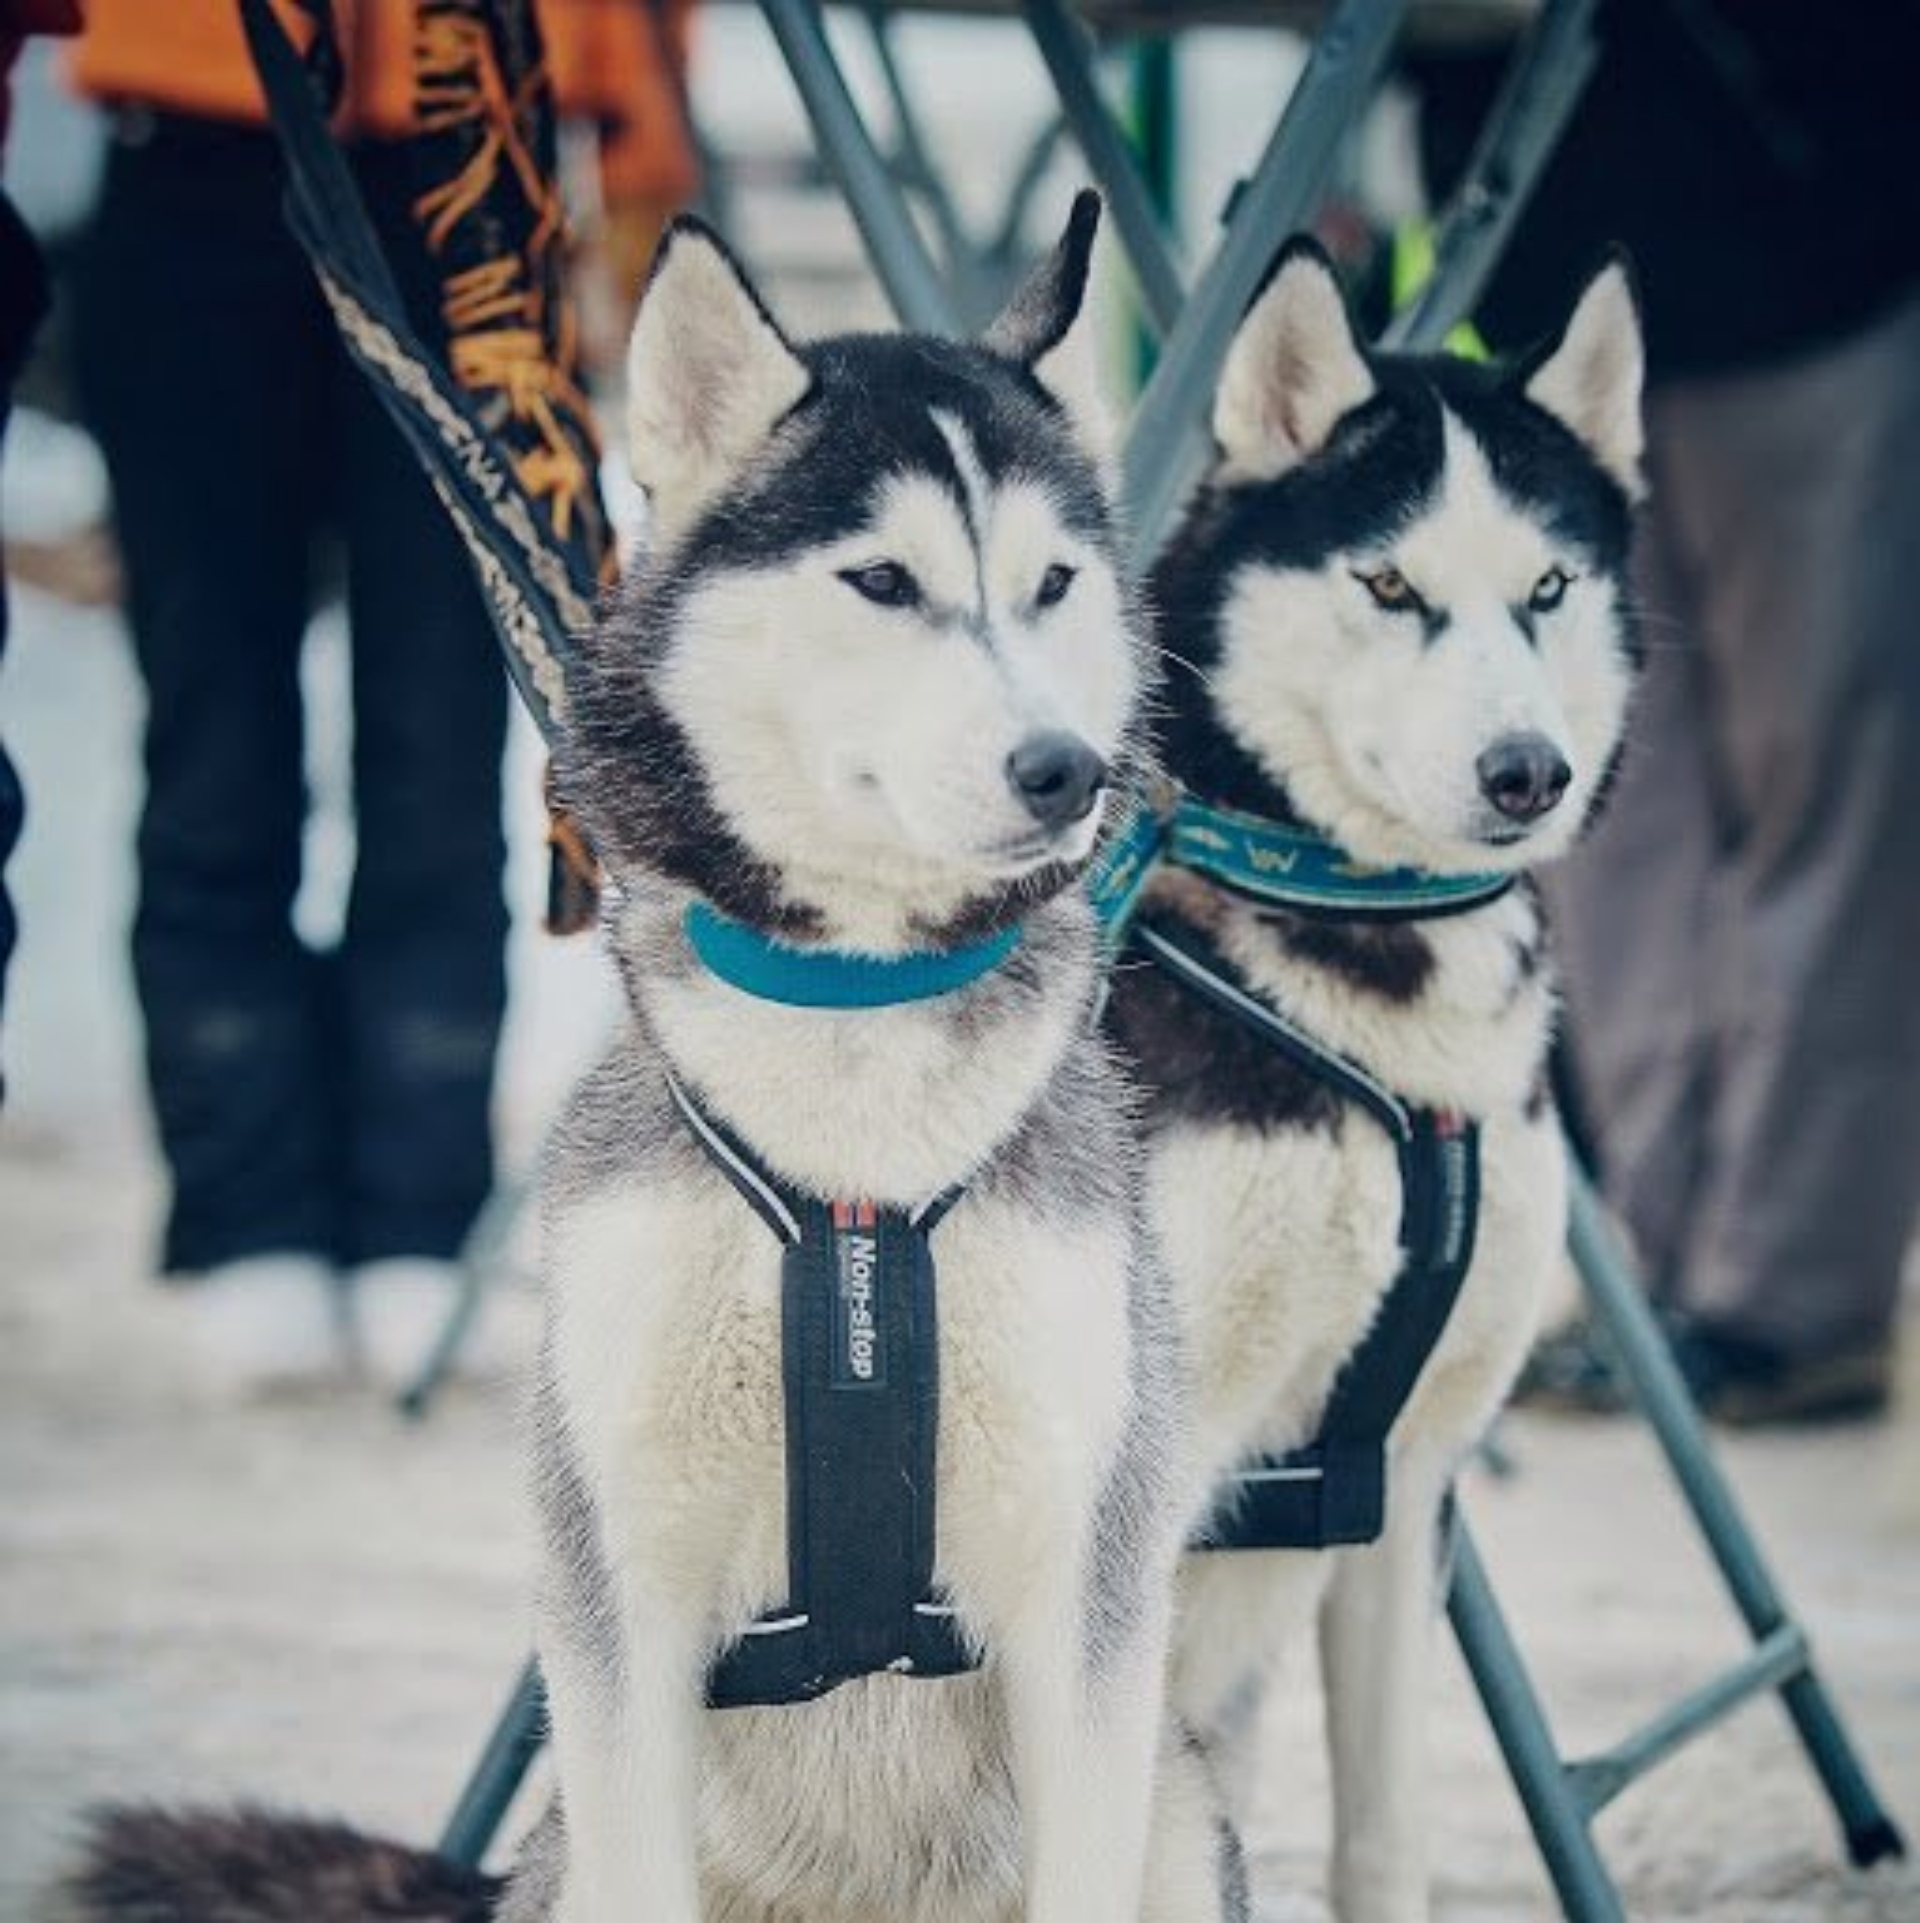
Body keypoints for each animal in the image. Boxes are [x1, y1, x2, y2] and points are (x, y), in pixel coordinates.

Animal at [48, 195, 1246, 1923]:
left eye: (1054, 582)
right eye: (881, 578)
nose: (1065, 768)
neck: (855, 1124)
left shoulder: (1082, 1580)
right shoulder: (621, 1583)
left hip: (1186, 1807)